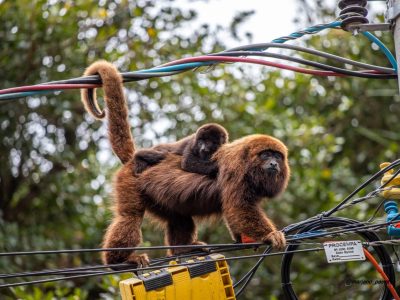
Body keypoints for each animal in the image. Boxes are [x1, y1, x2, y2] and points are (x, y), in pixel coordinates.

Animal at [81, 60, 290, 268]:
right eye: (266, 155)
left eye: (277, 156)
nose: (273, 163)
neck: (248, 160)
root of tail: (132, 160)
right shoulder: (236, 168)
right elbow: (239, 207)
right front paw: (270, 235)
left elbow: (232, 209)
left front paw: (244, 238)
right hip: (129, 180)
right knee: (130, 216)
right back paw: (120, 259)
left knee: (179, 217)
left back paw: (184, 250)